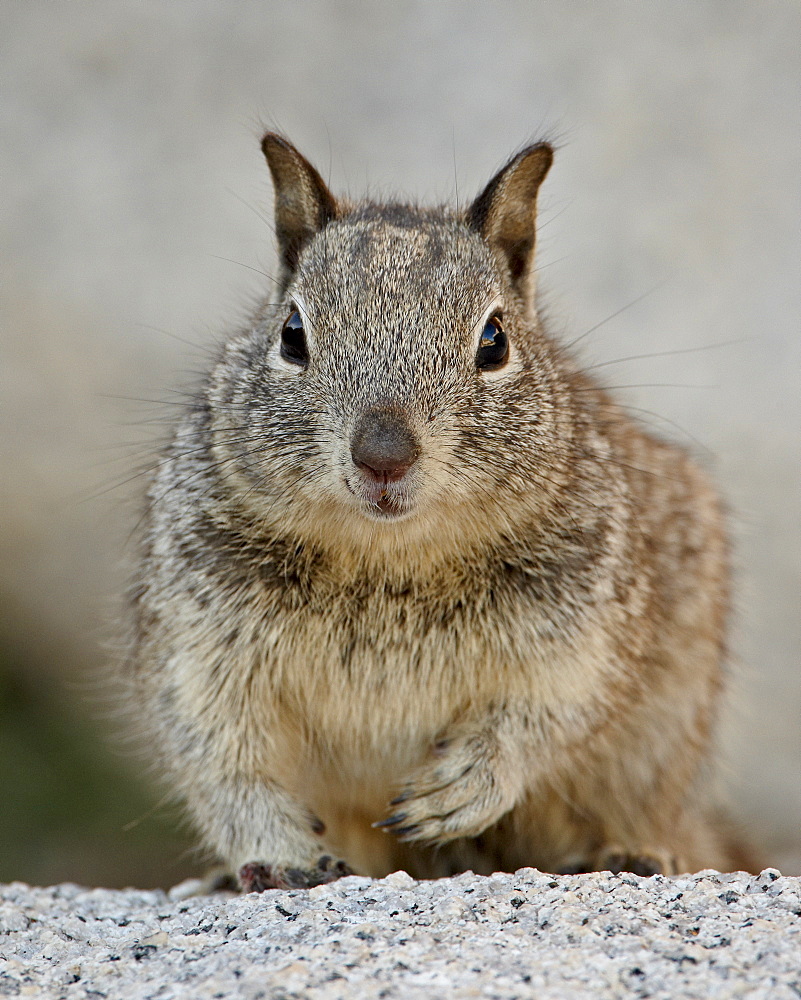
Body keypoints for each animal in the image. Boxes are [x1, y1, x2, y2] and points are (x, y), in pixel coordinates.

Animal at [128, 133, 748, 892]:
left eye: (494, 341)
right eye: (292, 333)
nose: (383, 455)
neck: (388, 559)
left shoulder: (583, 639)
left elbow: (541, 721)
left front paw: (459, 788)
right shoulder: (198, 648)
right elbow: (223, 763)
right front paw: (278, 855)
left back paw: (629, 853)